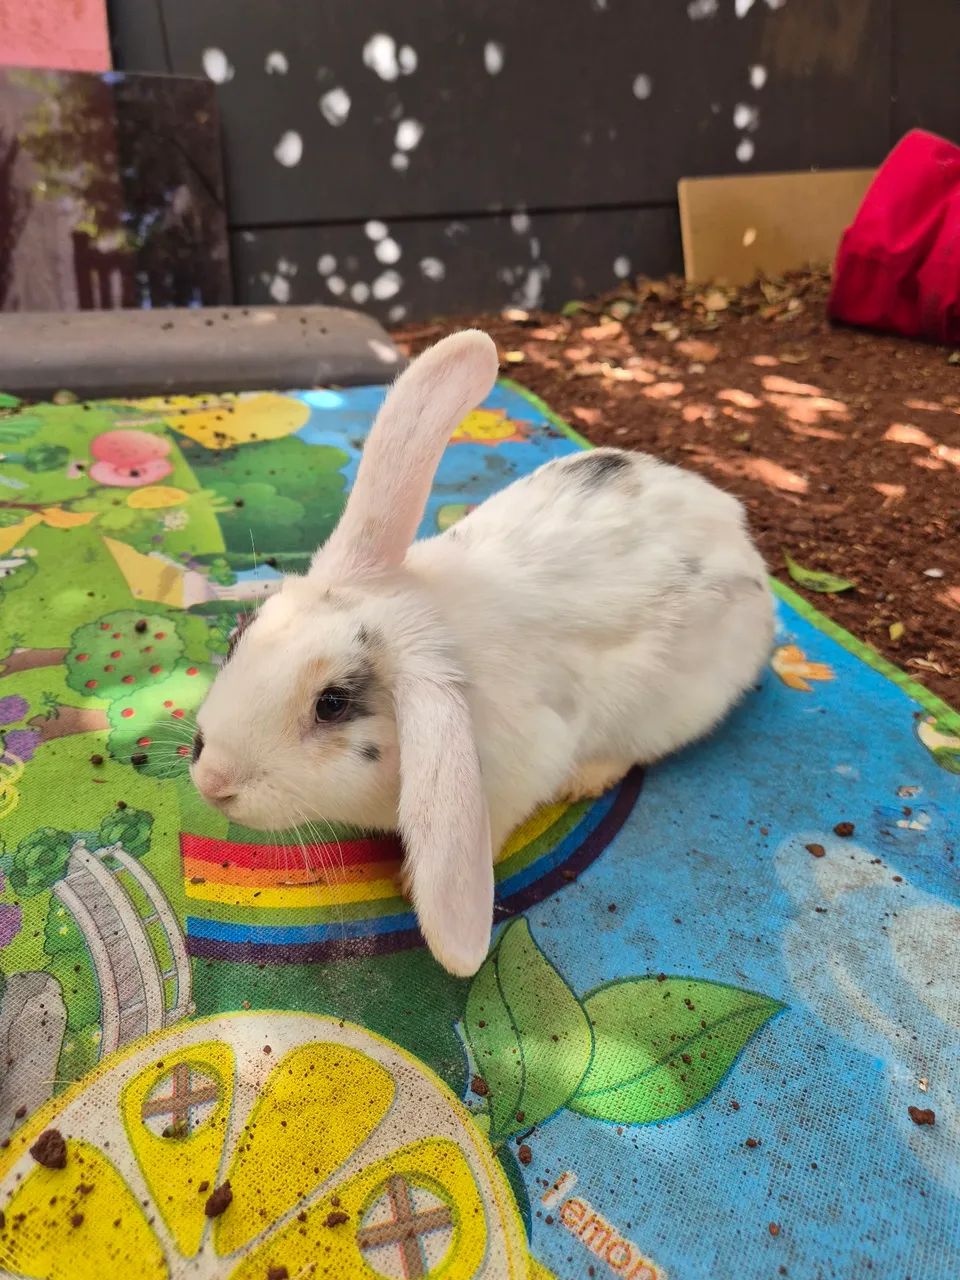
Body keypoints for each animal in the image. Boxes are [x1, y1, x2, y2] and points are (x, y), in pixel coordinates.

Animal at [192, 329, 774, 977]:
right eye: (241, 635)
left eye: (333, 704)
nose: (211, 780)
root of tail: (746, 550)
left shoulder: (525, 767)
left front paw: (407, 882)